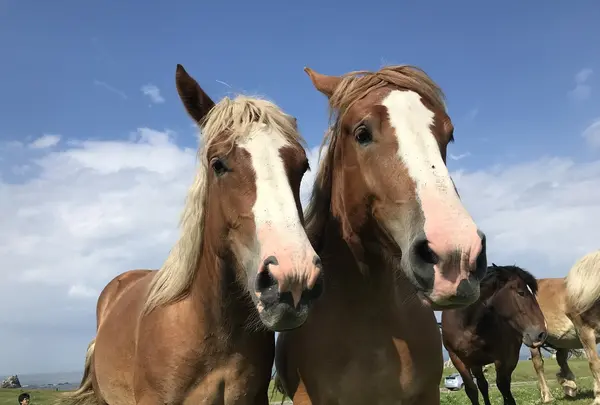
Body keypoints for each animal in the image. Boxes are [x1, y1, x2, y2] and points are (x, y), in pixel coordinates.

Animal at [440, 264, 548, 404]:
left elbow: (504, 388)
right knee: (483, 385)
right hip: (475, 362)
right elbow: (472, 390)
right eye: (521, 293)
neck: (466, 323)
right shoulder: (457, 358)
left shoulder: (501, 357)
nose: (542, 333)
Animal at [528, 249, 600, 404]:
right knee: (538, 364)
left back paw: (569, 385)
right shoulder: (585, 333)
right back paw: (547, 396)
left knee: (561, 359)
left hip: (563, 339)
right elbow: (594, 363)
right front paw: (598, 397)